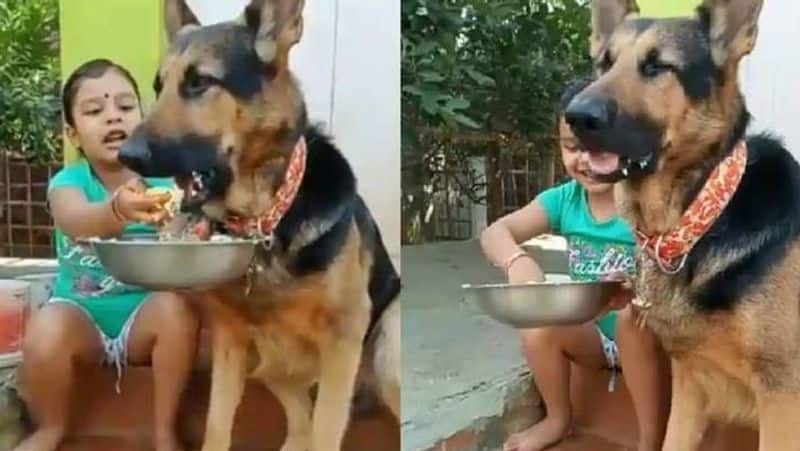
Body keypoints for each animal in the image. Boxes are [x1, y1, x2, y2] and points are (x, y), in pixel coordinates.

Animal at [114, 1, 400, 450]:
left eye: (200, 82)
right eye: (159, 87)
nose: (126, 155)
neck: (267, 219)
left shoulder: (344, 339)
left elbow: (326, 432)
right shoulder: (230, 342)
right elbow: (216, 427)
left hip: (386, 355)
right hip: (268, 365)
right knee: (300, 427)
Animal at [564, 0, 800, 451]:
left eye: (658, 67)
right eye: (604, 64)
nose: (574, 117)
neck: (702, 217)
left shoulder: (781, 398)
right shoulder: (691, 384)